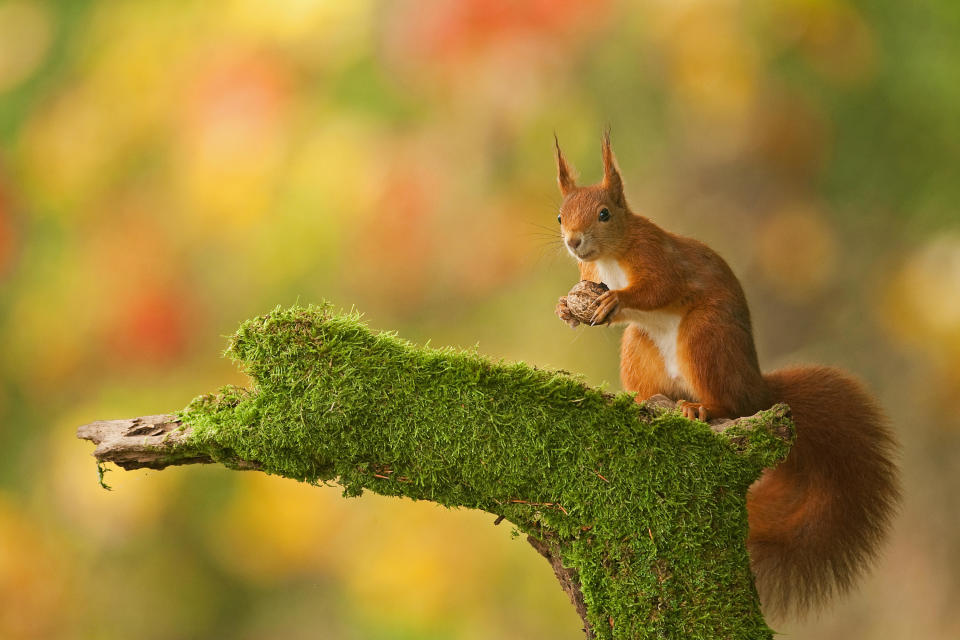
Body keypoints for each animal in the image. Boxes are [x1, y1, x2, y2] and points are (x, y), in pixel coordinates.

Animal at [556, 132, 900, 616]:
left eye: (604, 213)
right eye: (560, 215)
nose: (573, 242)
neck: (609, 259)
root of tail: (755, 386)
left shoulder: (658, 257)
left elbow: (659, 288)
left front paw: (616, 299)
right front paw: (566, 308)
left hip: (707, 338)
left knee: (728, 403)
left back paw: (701, 408)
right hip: (640, 348)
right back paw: (644, 400)